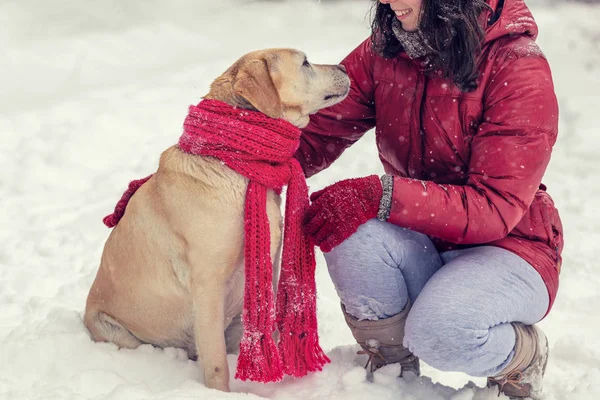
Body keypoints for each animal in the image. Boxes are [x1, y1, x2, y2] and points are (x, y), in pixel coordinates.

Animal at [82, 48, 350, 392]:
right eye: (304, 62)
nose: (344, 66)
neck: (236, 162)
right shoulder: (208, 284)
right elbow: (217, 364)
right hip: (115, 328)